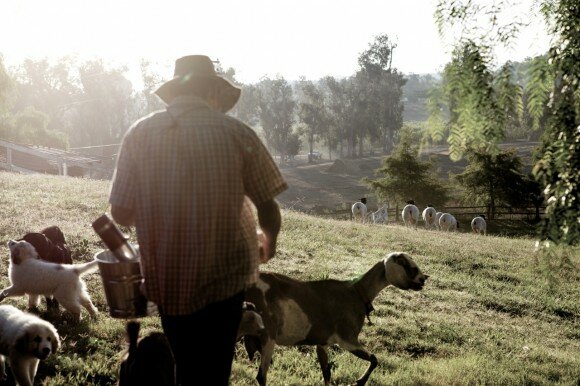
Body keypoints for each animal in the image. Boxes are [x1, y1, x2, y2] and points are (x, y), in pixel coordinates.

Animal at [242, 252, 428, 384]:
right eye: (407, 265)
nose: (423, 279)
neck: (357, 292)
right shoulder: (347, 340)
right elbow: (375, 359)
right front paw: (359, 382)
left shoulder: (323, 344)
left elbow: (327, 374)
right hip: (268, 336)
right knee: (261, 376)